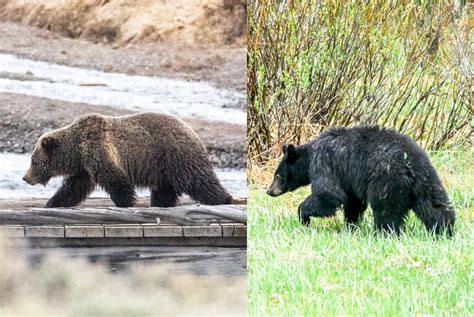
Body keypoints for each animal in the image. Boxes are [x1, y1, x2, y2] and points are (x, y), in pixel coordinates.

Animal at [22, 111, 233, 207]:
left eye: (33, 161)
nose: (25, 177)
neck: (76, 151)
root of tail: (192, 131)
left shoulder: (98, 150)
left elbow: (114, 179)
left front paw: (125, 202)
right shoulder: (84, 167)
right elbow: (73, 188)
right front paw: (52, 203)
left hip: (177, 155)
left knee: (198, 180)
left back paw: (224, 198)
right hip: (162, 166)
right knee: (165, 189)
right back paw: (161, 203)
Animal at [266, 125, 456, 235]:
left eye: (278, 175)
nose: (269, 191)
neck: (310, 154)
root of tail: (407, 163)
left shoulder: (324, 163)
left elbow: (329, 194)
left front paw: (304, 217)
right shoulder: (349, 180)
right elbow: (353, 202)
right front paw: (351, 226)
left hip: (386, 181)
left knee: (385, 211)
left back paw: (383, 233)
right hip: (426, 178)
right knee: (435, 206)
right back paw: (444, 230)